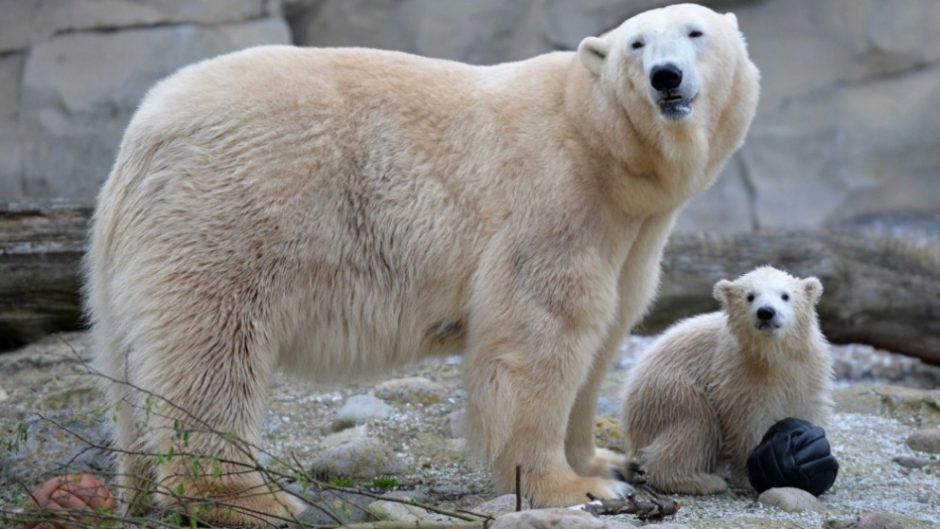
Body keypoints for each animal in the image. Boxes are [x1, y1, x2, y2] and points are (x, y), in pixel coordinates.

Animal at [86, 3, 756, 524]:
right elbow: (540, 335)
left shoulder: (630, 236)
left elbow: (605, 333)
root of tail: (144, 133)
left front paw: (604, 460)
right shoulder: (553, 197)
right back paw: (247, 499)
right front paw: (573, 486)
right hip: (232, 206)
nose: (665, 77)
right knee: (212, 350)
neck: (598, 142)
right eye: (637, 43)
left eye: (695, 32)